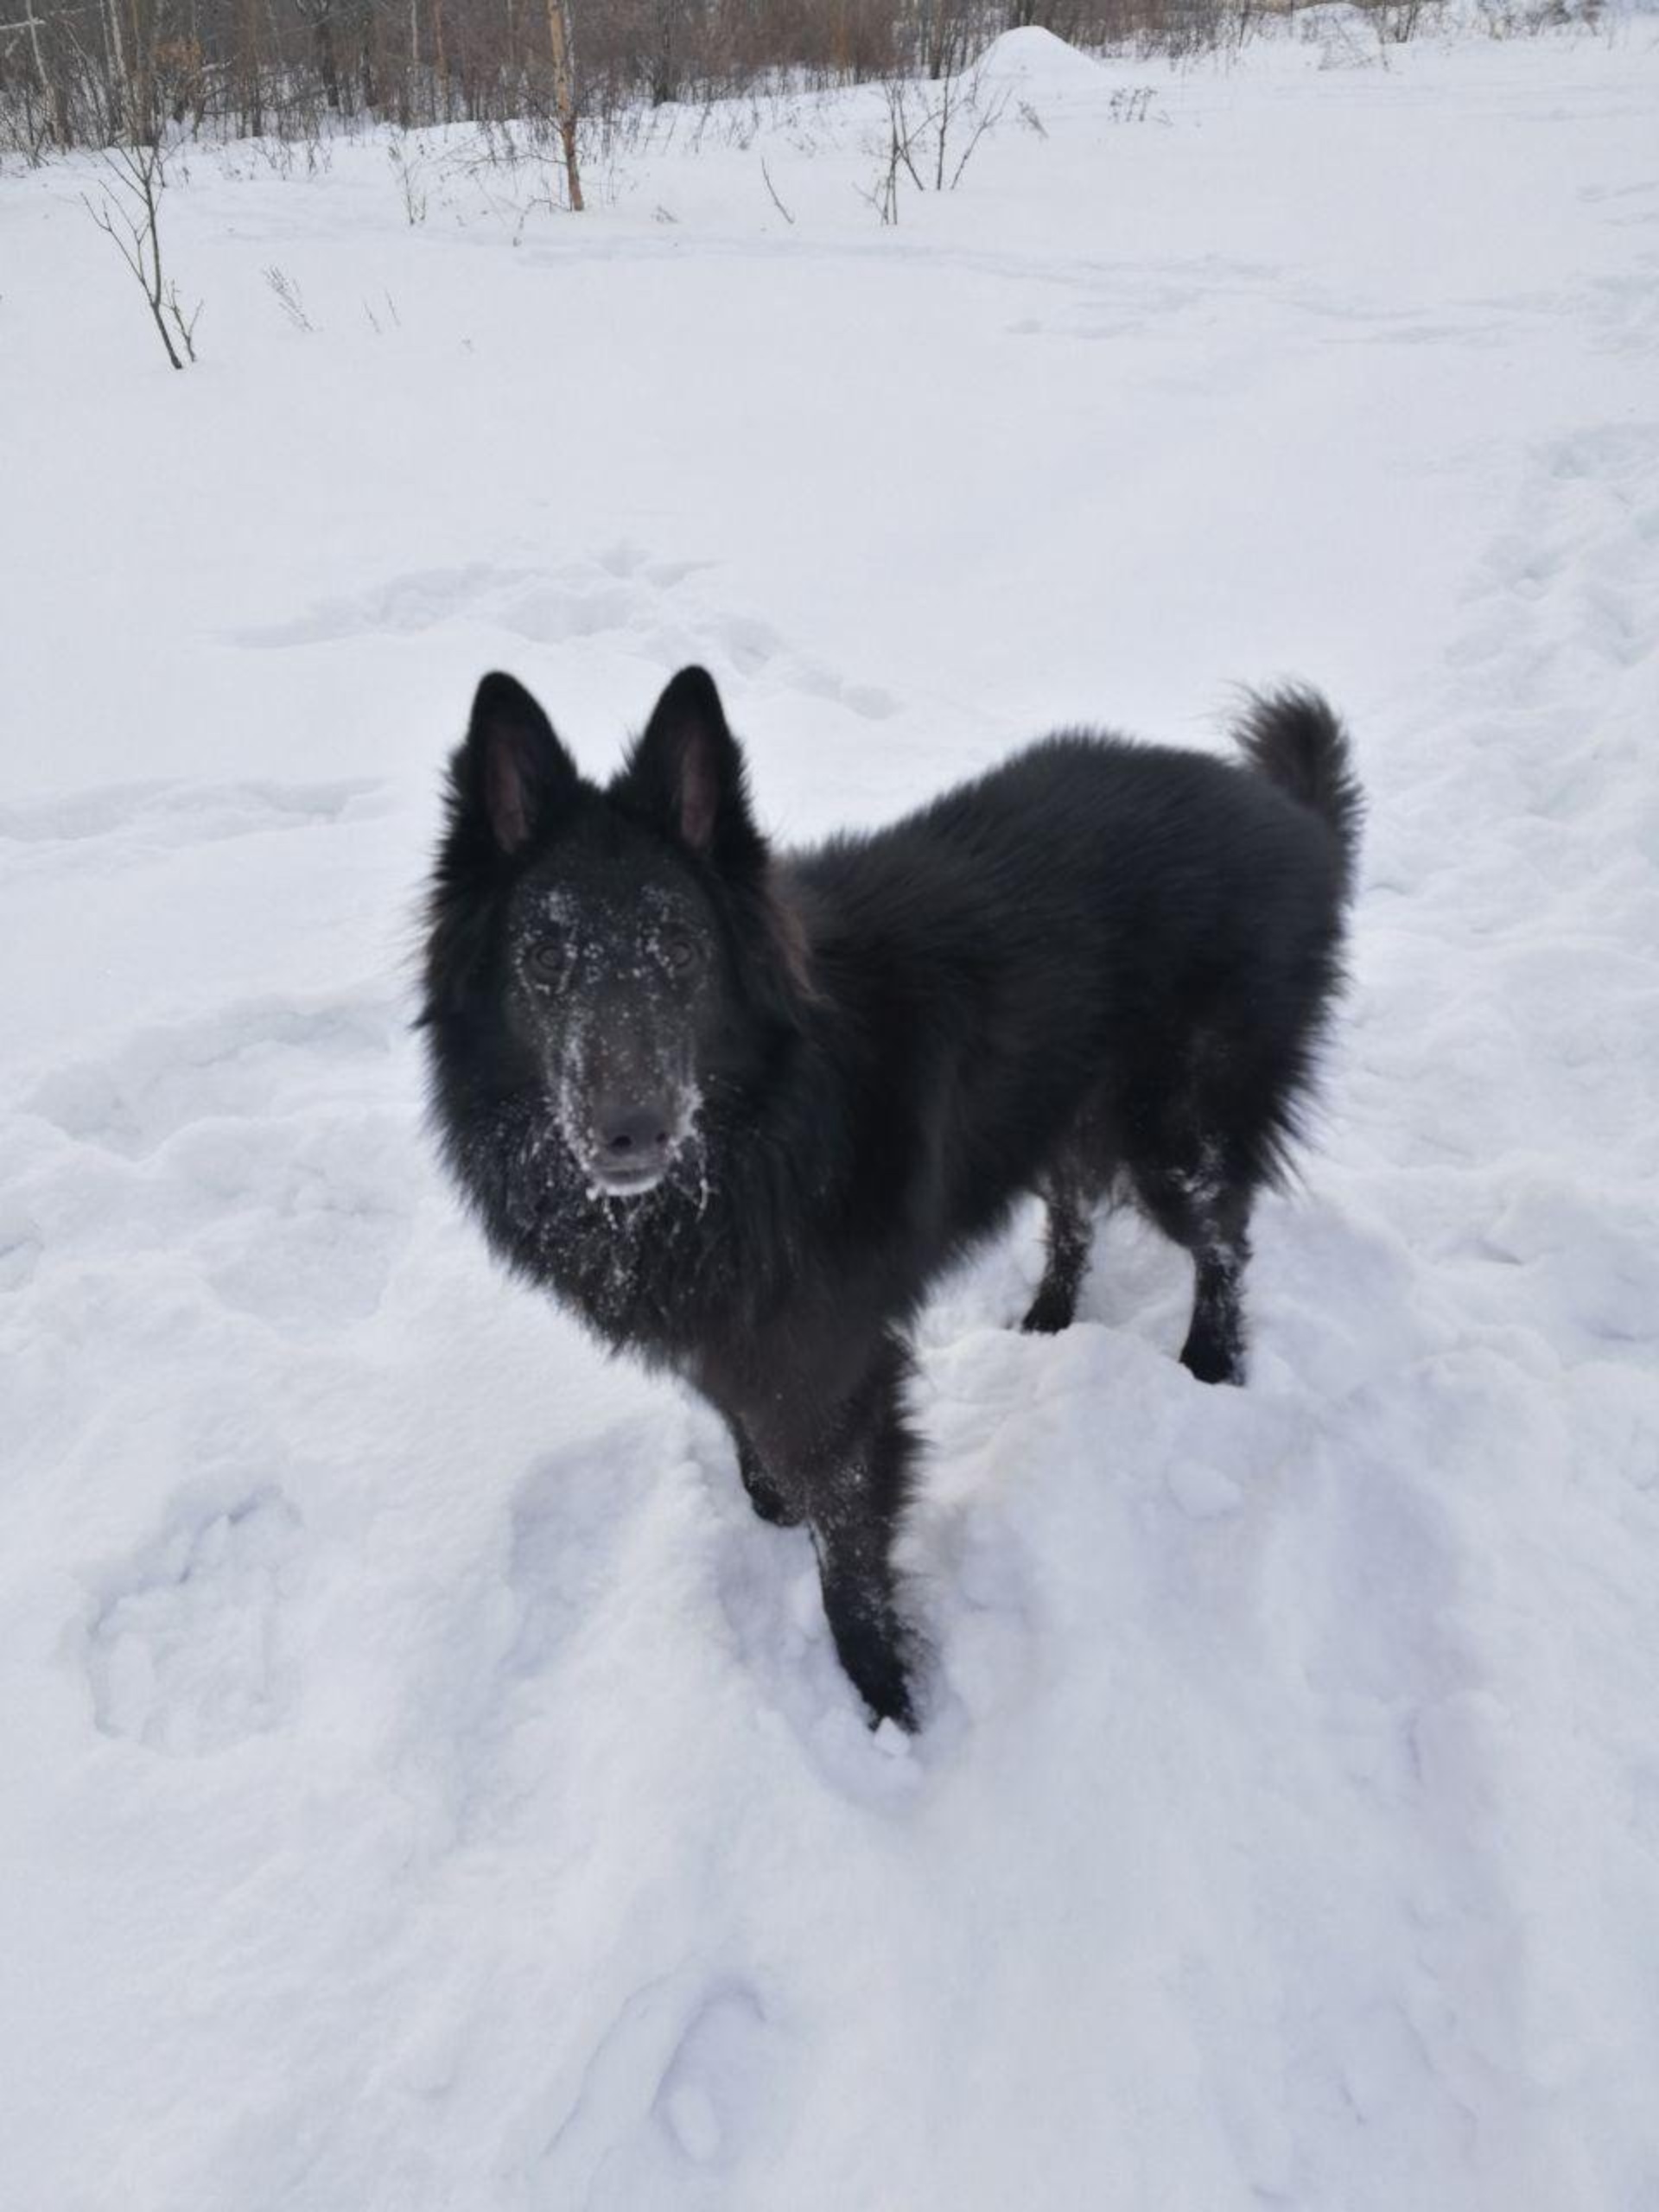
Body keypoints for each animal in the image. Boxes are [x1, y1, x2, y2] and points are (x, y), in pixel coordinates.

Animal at [417, 664, 1362, 1734]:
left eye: (682, 949)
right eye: (545, 959)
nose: (632, 1131)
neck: (759, 1136)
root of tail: (1289, 814)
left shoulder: (839, 1378)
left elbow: (849, 1567)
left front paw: (885, 1709)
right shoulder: (735, 1340)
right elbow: (755, 1454)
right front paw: (774, 1516)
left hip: (1175, 1135)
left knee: (1224, 1238)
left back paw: (1211, 1362)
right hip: (1067, 1111)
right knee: (1076, 1207)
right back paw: (1047, 1318)